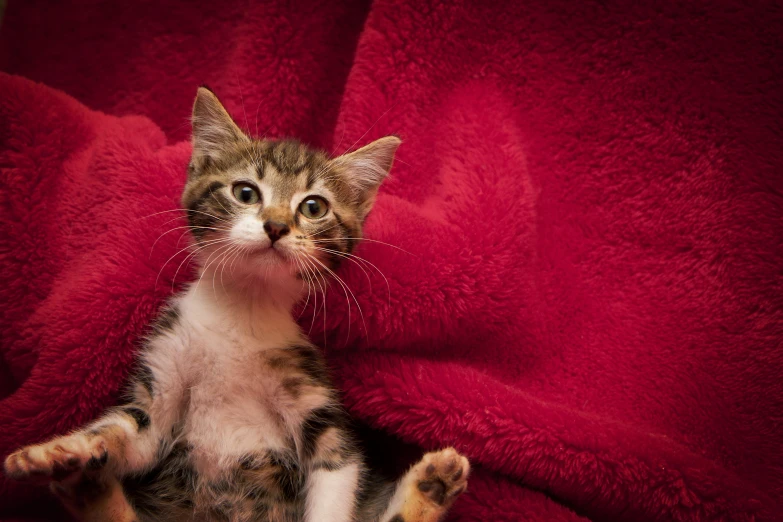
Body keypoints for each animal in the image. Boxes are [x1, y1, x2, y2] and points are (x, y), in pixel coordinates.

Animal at [3, 87, 468, 516]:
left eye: (313, 207)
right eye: (245, 193)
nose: (276, 226)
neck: (241, 314)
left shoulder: (317, 409)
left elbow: (335, 475)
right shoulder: (163, 377)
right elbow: (126, 434)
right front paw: (64, 449)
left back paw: (430, 486)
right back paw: (86, 483)